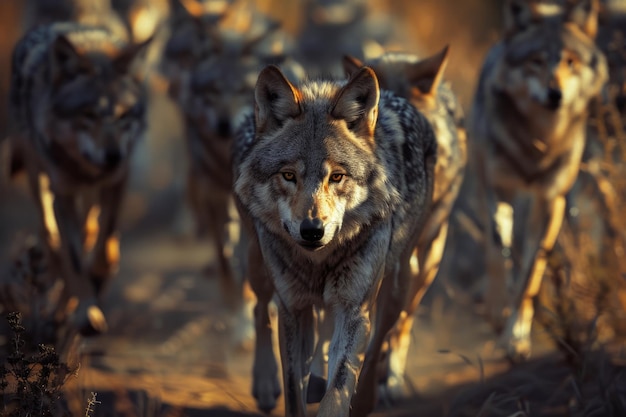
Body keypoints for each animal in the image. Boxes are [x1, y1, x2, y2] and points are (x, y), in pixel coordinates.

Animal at [6, 22, 152, 334]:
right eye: (89, 114)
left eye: (124, 116)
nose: (113, 156)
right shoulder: (63, 192)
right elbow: (73, 259)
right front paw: (86, 311)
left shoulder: (117, 181)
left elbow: (104, 242)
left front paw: (99, 277)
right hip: (39, 180)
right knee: (50, 236)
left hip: (90, 197)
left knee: (89, 232)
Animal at [230, 64, 434, 416]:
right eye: (288, 176)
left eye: (337, 176)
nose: (312, 230)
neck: (318, 263)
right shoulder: (293, 309)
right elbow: (293, 391)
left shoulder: (353, 308)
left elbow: (339, 388)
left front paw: (337, 392)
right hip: (259, 265)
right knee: (260, 310)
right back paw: (267, 385)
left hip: (397, 282)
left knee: (378, 339)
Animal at [470, 0, 608, 360]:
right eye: (536, 61)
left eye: (570, 62)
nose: (555, 94)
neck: (537, 143)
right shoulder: (497, 189)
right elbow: (497, 254)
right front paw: (497, 312)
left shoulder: (551, 199)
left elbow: (531, 274)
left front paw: (515, 337)